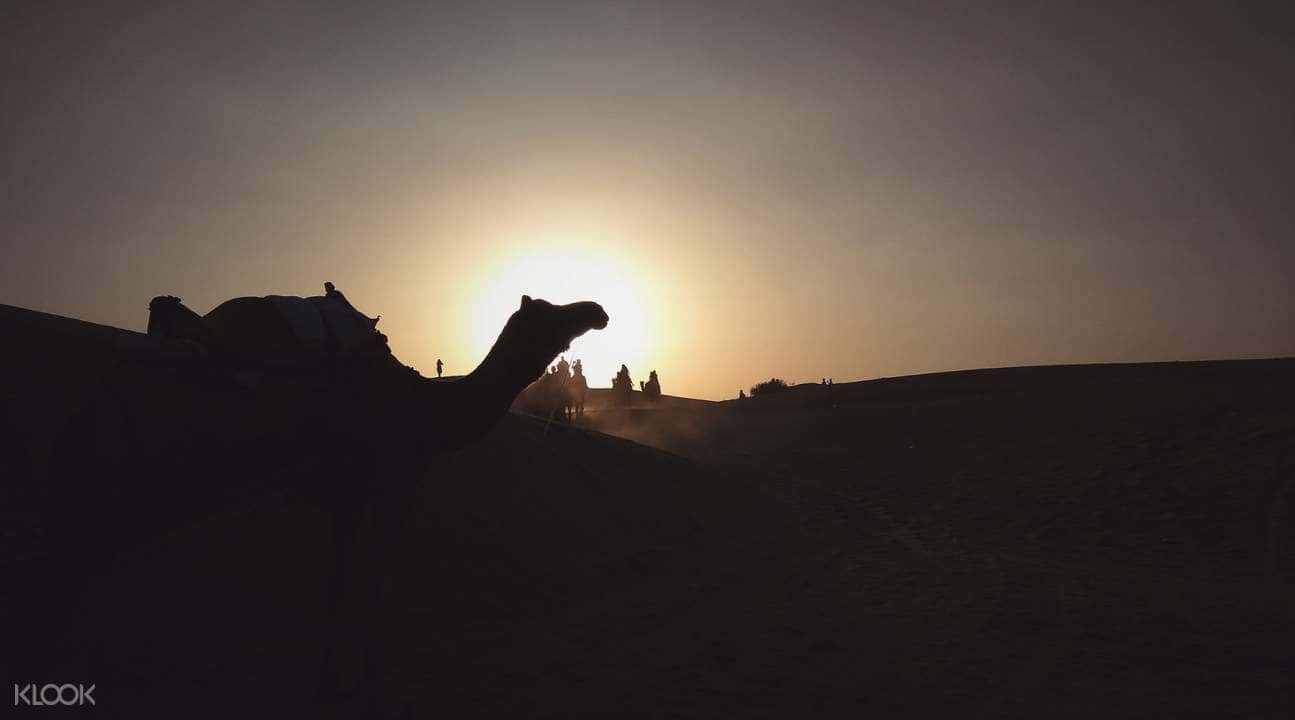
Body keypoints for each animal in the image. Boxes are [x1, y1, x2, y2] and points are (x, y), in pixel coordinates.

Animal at [41, 286, 608, 706]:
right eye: (551, 311)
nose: (597, 311)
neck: (427, 410)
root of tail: (99, 400)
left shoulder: (347, 495)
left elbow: (338, 582)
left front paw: (328, 680)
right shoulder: (396, 478)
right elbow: (374, 581)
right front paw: (364, 683)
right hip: (156, 474)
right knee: (80, 556)